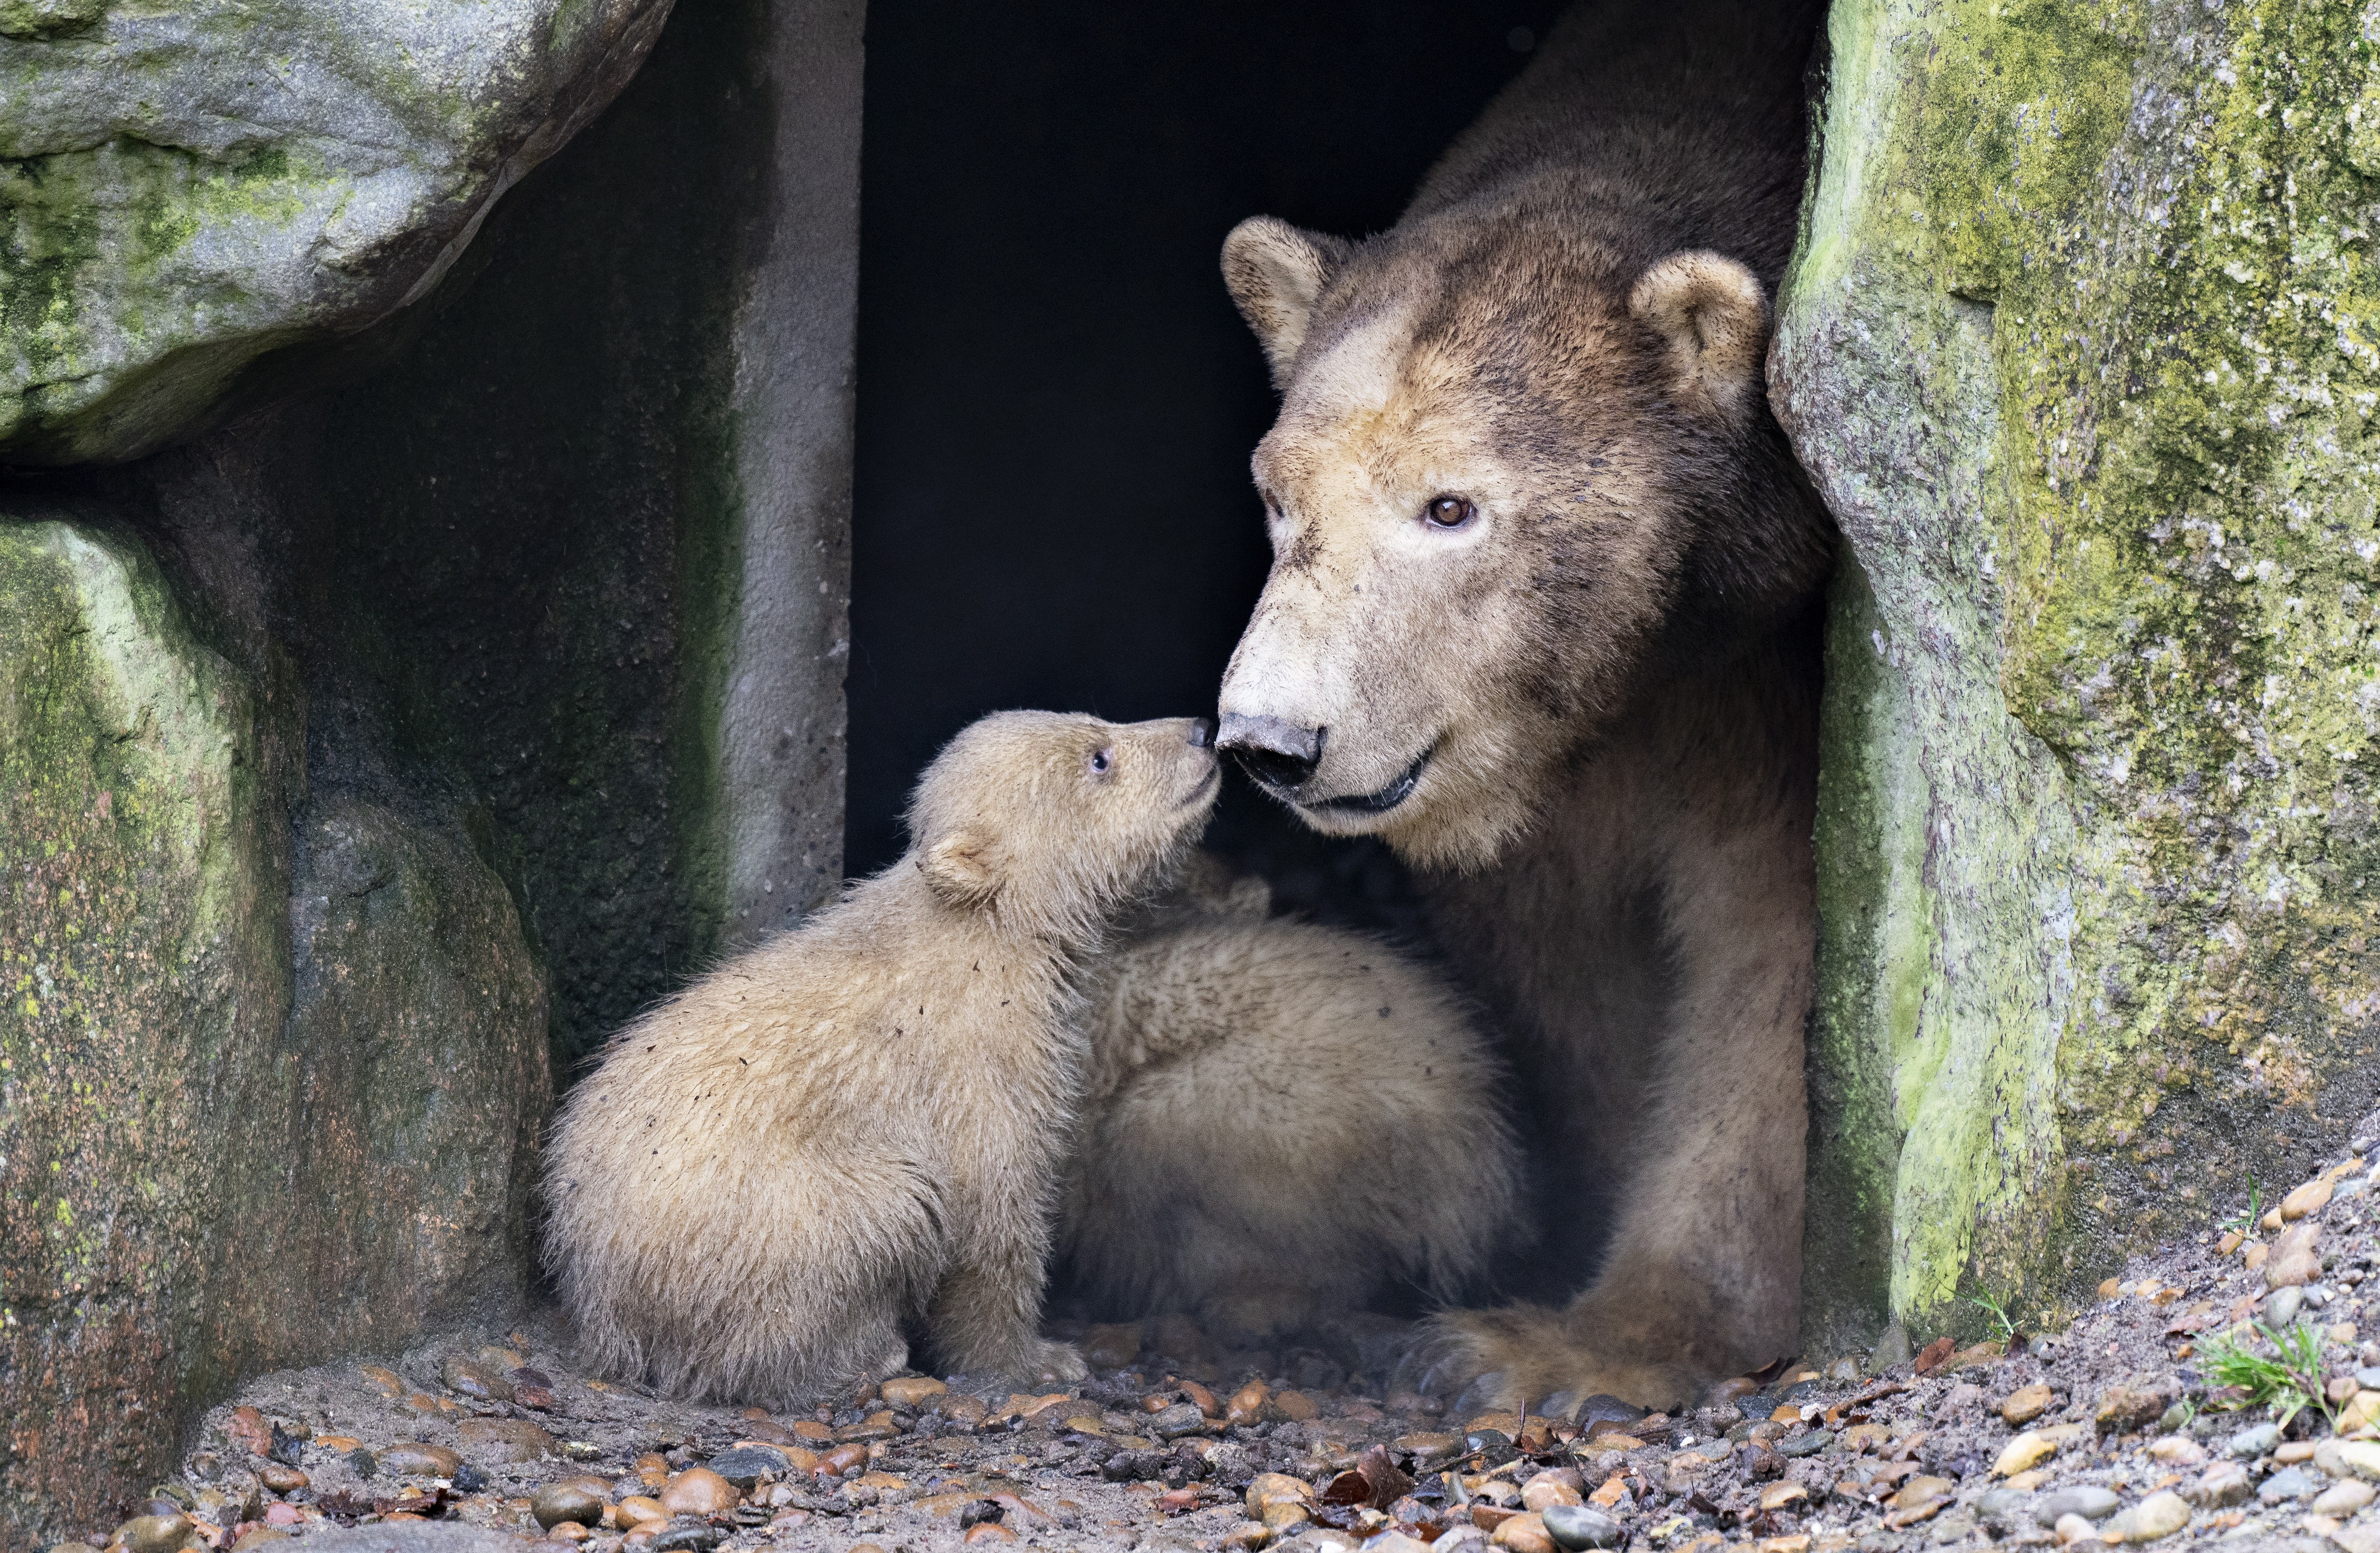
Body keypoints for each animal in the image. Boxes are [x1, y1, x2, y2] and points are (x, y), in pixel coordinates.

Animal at [1218, 0, 1827, 1408]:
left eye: (1450, 506)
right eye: (1278, 497)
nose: (1273, 740)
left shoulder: (1765, 684)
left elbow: (1765, 956)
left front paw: (1590, 1347)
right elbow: (1568, 970)